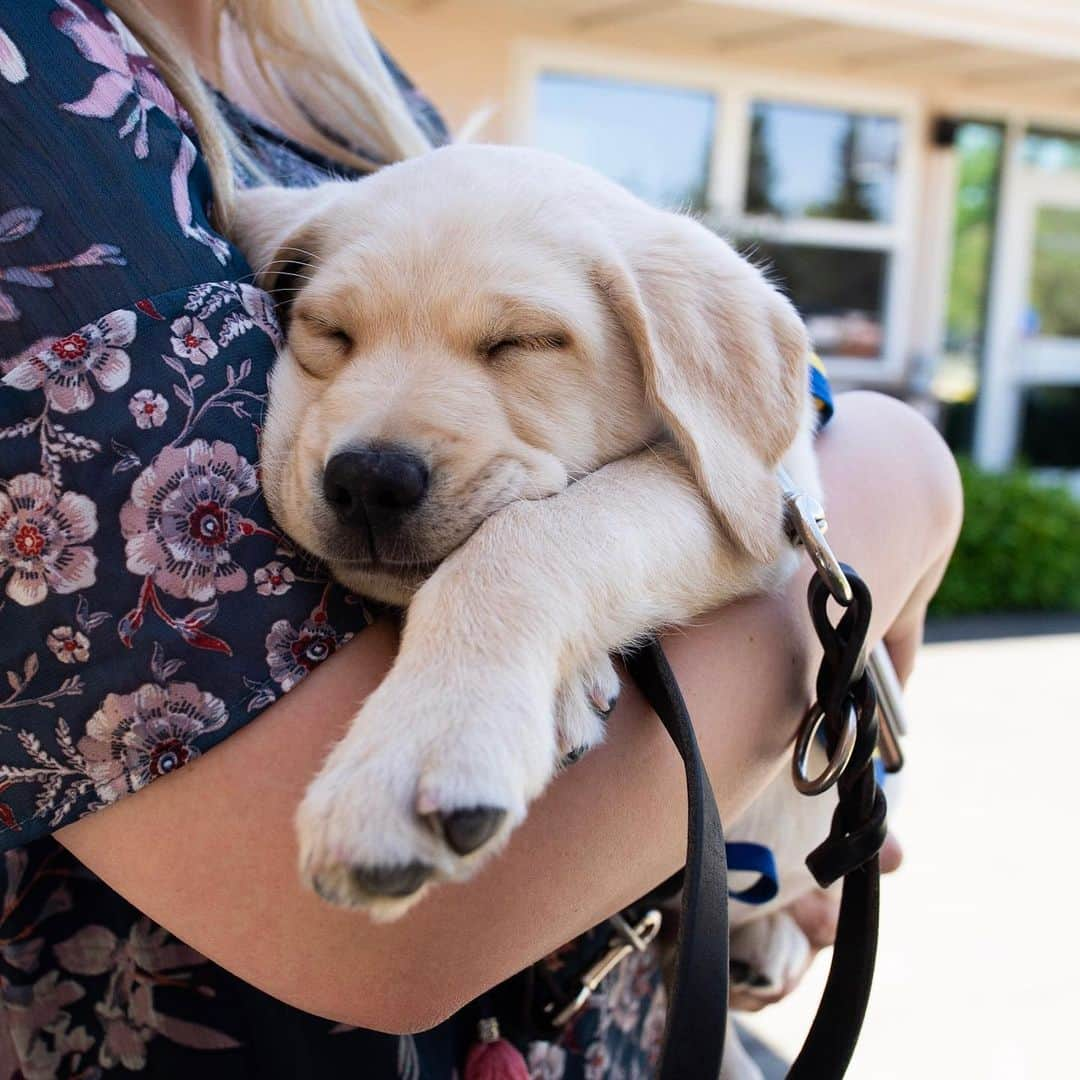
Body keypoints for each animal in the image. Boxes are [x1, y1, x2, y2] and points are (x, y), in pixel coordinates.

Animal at [234, 145, 825, 946]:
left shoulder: (763, 504)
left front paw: (428, 734)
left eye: (523, 342)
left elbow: (532, 534)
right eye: (328, 332)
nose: (368, 479)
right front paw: (565, 691)